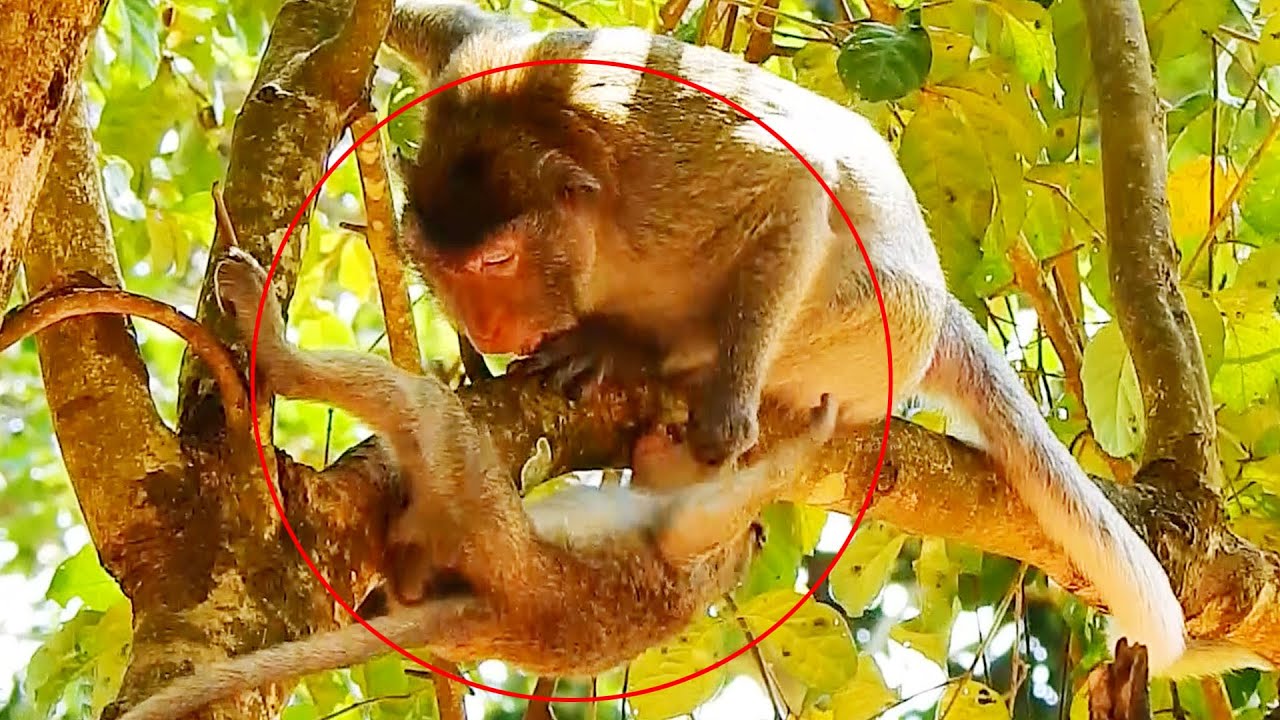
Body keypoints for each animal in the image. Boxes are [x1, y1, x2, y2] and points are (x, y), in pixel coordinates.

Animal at [112, 247, 839, 720]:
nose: (664, 436)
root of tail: (500, 608)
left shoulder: (701, 539)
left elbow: (701, 520)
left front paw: (813, 436)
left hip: (476, 513)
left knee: (424, 408)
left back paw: (276, 352)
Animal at [376, 0, 1276, 678]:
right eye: (440, 267)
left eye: (497, 262)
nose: (485, 326)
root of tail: (943, 313)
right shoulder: (483, 58)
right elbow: (445, 22)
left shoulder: (664, 178)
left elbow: (794, 186)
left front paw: (719, 405)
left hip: (884, 332)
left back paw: (644, 356)